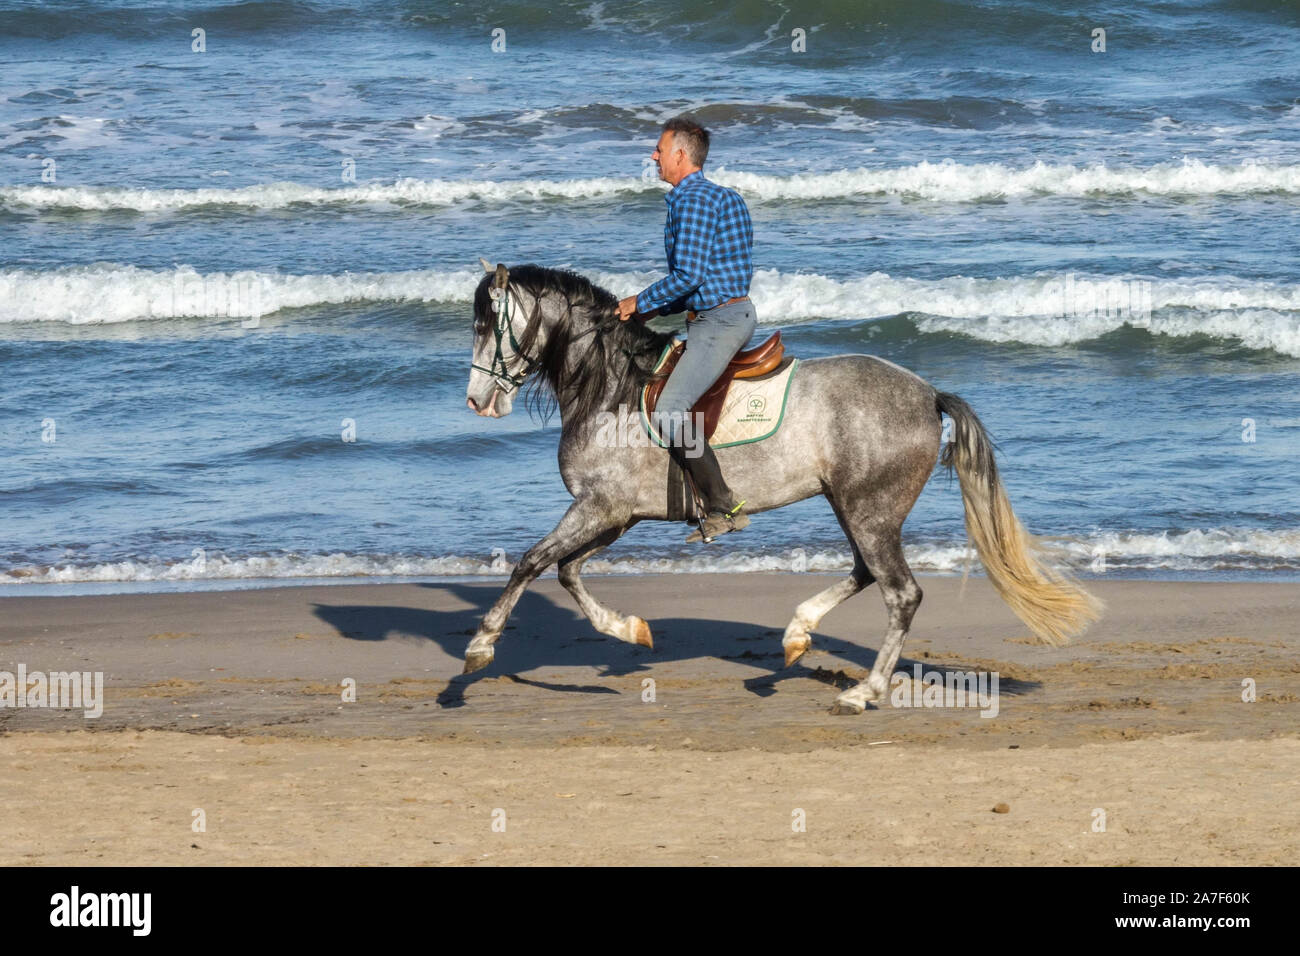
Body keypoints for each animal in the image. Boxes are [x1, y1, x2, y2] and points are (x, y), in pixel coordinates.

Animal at [465, 260, 1097, 712]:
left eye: (486, 326)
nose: (476, 401)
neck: (612, 386)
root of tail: (927, 394)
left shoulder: (598, 506)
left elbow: (531, 562)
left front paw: (480, 645)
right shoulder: (616, 515)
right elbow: (567, 570)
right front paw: (631, 630)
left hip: (868, 510)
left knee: (900, 592)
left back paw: (862, 692)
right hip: (854, 505)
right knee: (867, 572)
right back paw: (798, 633)